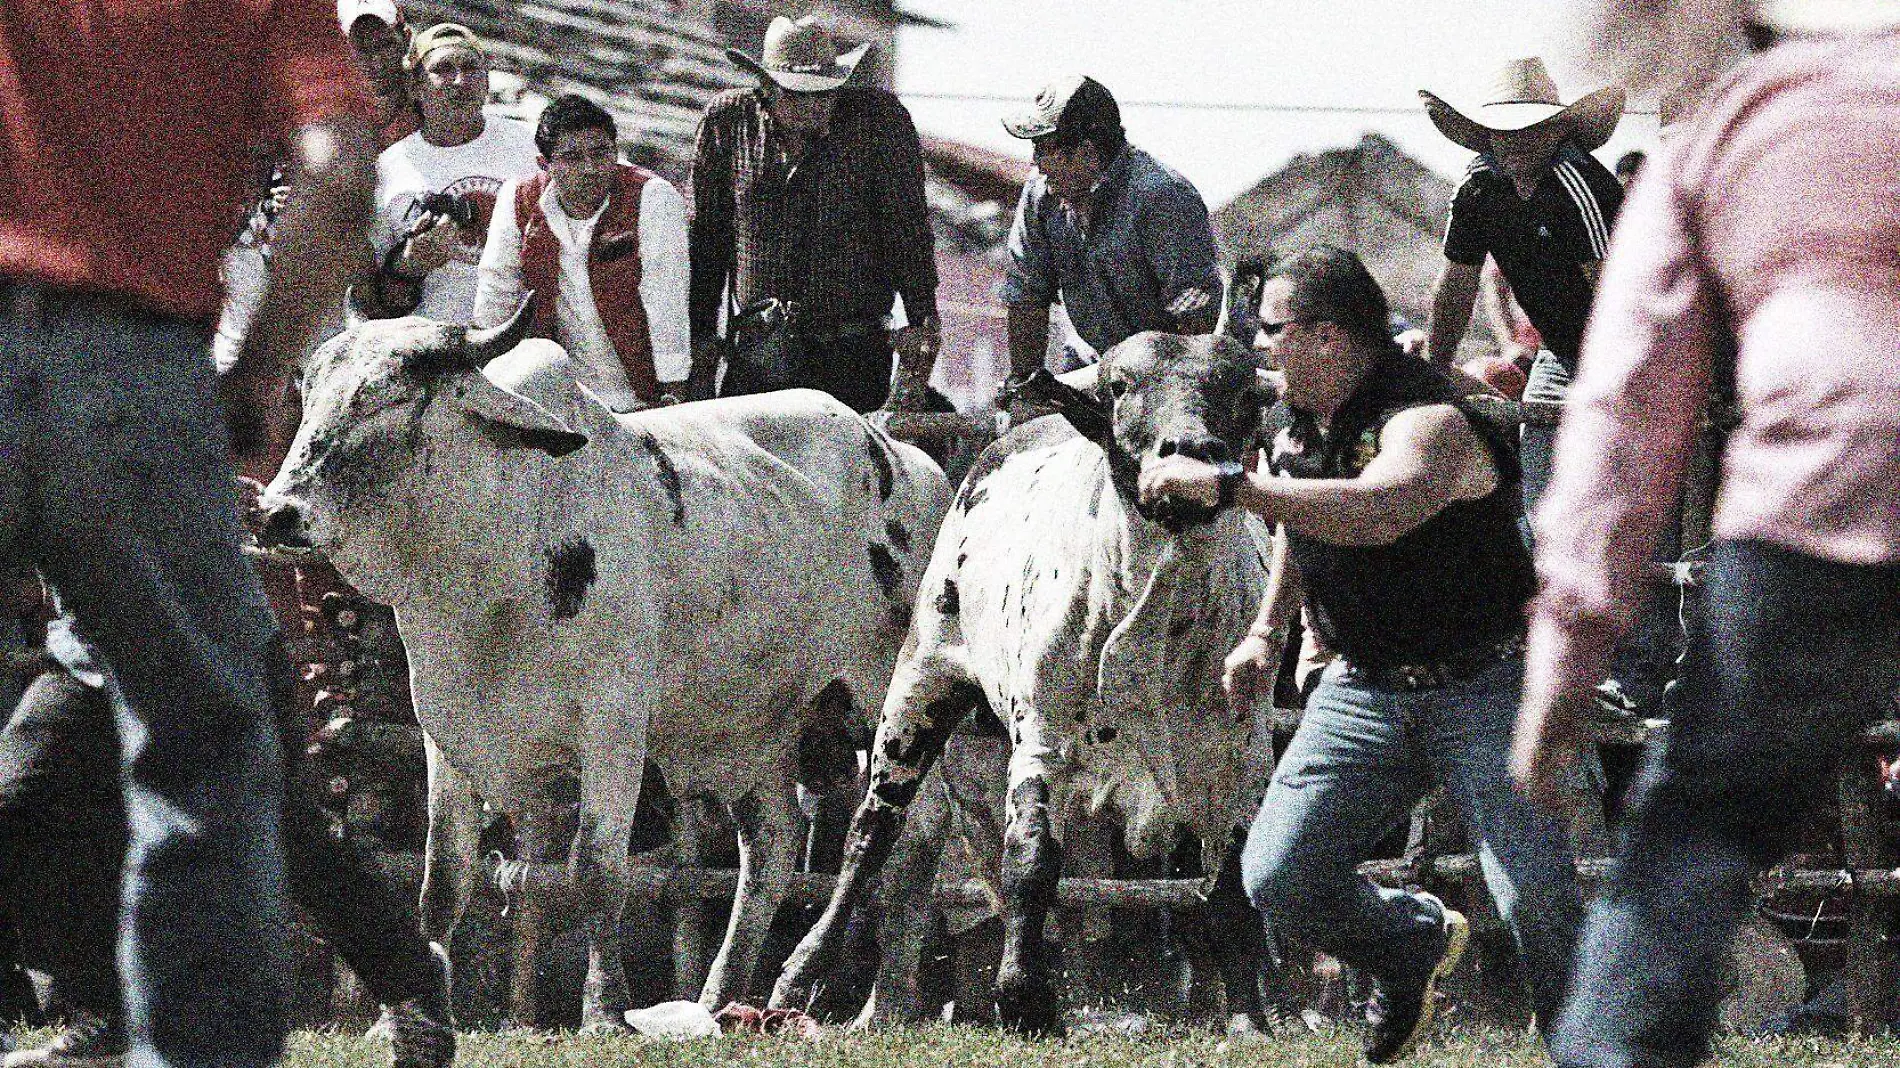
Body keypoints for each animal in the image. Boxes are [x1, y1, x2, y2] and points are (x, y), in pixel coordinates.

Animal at [256, 305, 950, 1026]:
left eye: (387, 398)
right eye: (311, 396)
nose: (276, 512)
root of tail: (909, 459)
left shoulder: (613, 727)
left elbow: (595, 871)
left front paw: (603, 1010)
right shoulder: (446, 735)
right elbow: (442, 884)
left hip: (888, 690)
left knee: (912, 829)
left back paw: (879, 1004)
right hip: (750, 729)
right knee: (772, 847)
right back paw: (718, 1000)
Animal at [771, 330, 1276, 1033]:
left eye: (1234, 388)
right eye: (1122, 385)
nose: (1192, 452)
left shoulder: (1244, 755)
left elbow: (1230, 883)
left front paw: (1248, 1016)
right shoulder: (1043, 736)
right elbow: (1030, 860)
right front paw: (1022, 996)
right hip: (919, 684)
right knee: (870, 834)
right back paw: (798, 974)